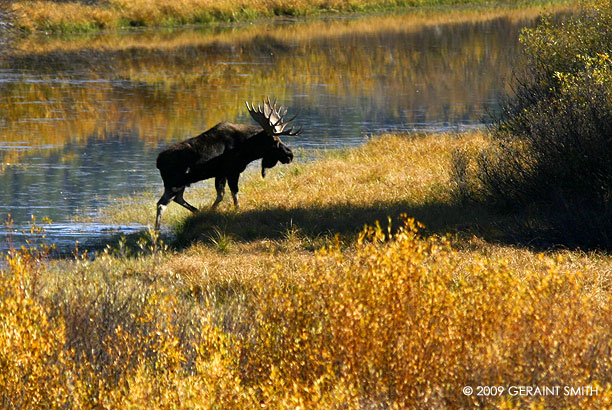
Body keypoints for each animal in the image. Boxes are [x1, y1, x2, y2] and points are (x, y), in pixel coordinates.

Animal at [154, 97, 300, 229]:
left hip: (180, 184)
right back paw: (156, 232)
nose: (290, 155)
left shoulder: (221, 174)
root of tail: (158, 162)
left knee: (177, 199)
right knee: (161, 204)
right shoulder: (232, 171)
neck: (248, 148)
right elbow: (234, 193)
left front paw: (211, 210)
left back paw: (196, 211)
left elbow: (220, 195)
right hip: (174, 184)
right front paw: (237, 210)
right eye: (274, 141)